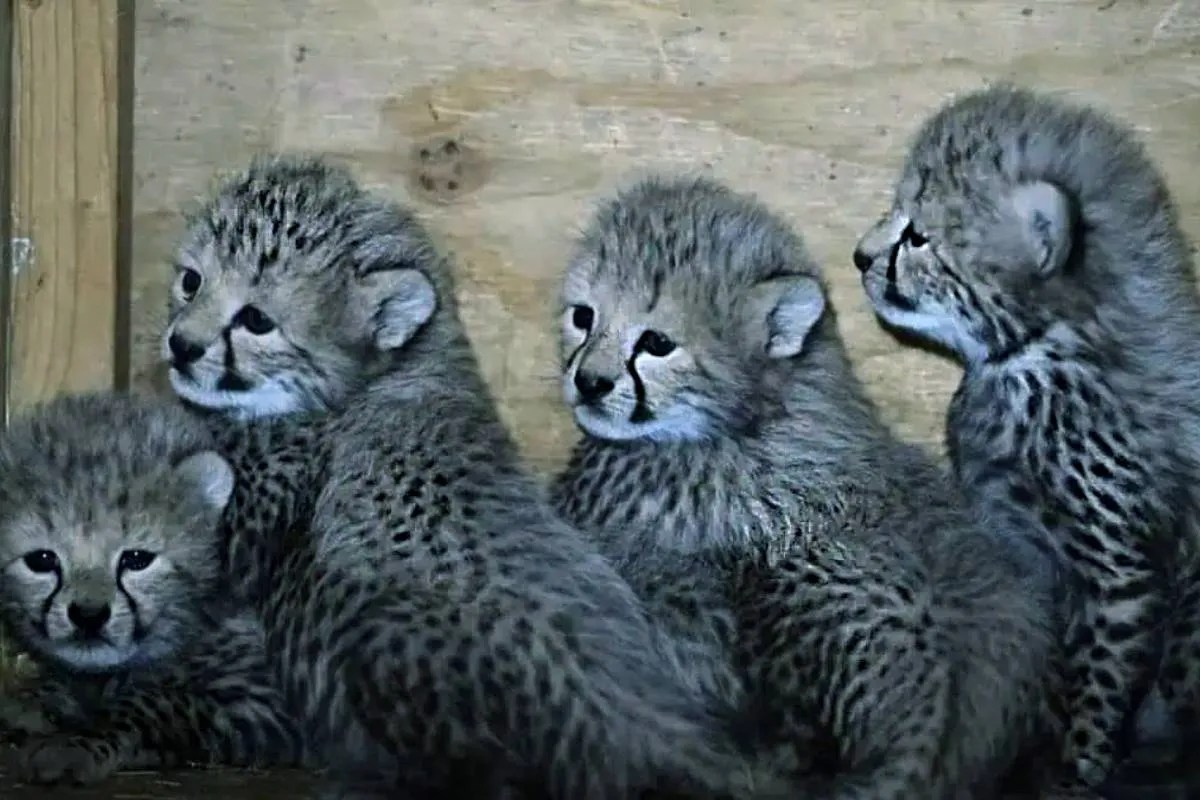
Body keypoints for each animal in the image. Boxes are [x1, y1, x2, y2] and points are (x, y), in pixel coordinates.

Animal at [0, 391, 305, 786]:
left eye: (136, 559)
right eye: (41, 559)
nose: (89, 616)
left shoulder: (269, 703)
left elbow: (155, 702)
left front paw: (76, 742)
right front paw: (37, 701)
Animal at [852, 83, 1200, 793]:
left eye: (919, 235)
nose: (861, 256)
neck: (1041, 352)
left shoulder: (1119, 576)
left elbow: (1096, 694)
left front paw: (1072, 775)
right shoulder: (1014, 539)